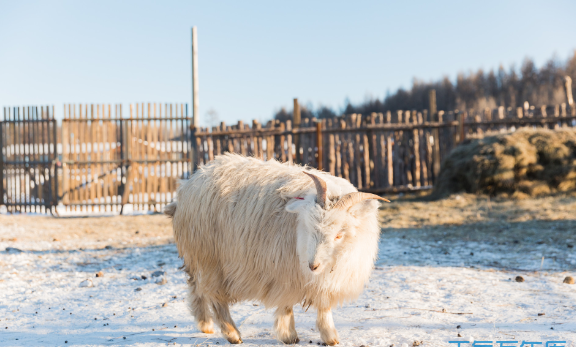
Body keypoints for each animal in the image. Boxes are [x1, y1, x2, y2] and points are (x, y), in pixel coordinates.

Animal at [166, 154, 390, 346]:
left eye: (338, 235)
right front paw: (289, 335)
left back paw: (205, 325)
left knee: (196, 288)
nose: (313, 265)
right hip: (211, 259)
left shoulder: (324, 279)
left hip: (197, 257)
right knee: (215, 297)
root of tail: (188, 185)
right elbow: (286, 303)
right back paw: (232, 334)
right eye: (309, 226)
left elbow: (323, 305)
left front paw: (329, 337)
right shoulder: (283, 270)